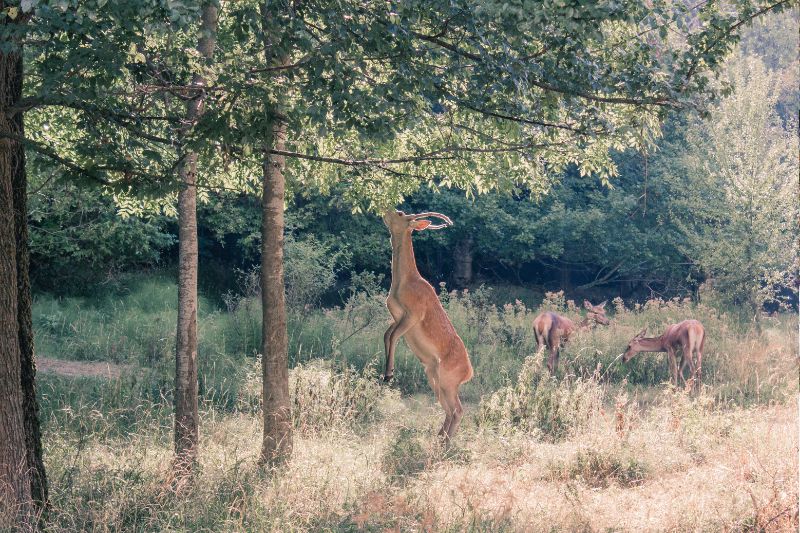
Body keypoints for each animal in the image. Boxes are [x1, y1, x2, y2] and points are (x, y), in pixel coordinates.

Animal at [382, 210, 472, 442]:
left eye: (400, 213)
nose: (385, 211)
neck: (404, 283)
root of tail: (469, 373)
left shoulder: (413, 314)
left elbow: (393, 336)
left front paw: (389, 374)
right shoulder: (396, 315)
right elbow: (387, 335)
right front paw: (387, 373)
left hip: (448, 379)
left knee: (458, 409)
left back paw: (445, 443)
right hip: (434, 376)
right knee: (449, 409)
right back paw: (439, 439)